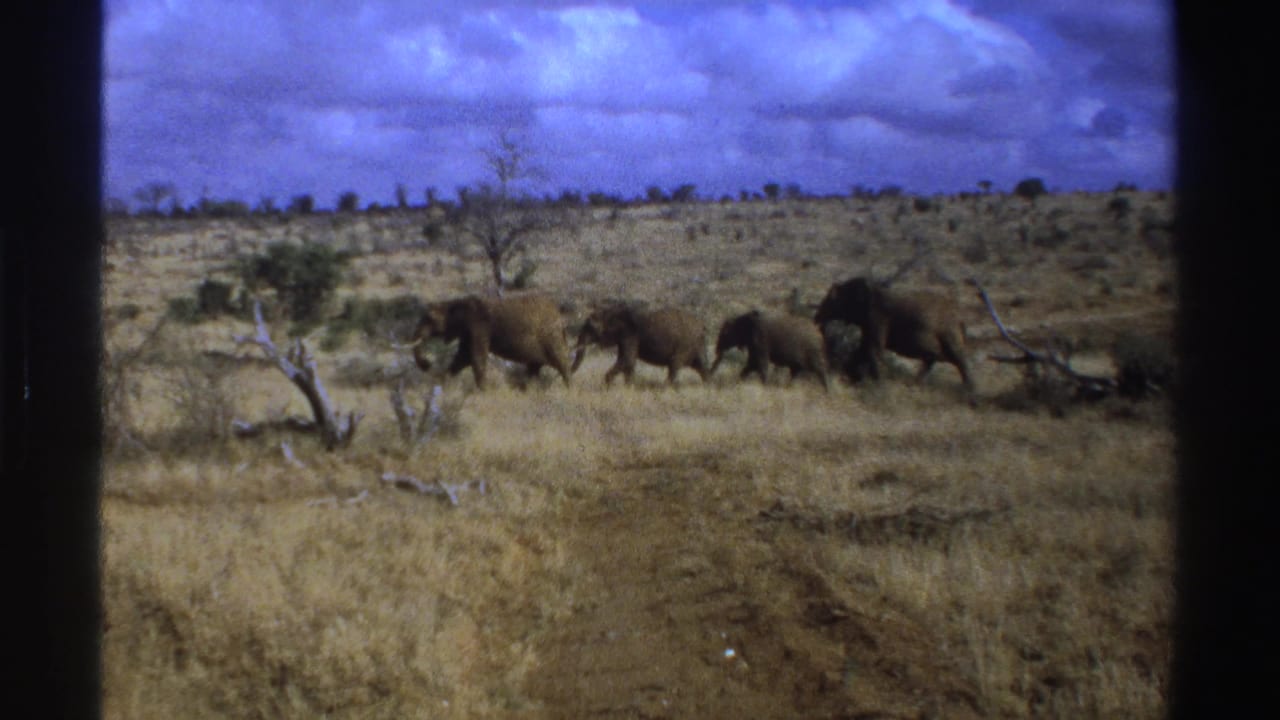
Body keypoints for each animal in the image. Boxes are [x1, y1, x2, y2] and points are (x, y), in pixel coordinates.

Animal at [412, 292, 573, 389]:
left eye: (430, 319)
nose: (427, 363)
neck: (454, 303)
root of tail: (559, 314)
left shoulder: (479, 328)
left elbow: (476, 358)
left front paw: (483, 392)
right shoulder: (468, 333)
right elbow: (461, 359)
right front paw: (442, 383)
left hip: (551, 337)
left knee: (561, 363)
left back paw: (568, 390)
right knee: (534, 368)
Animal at [570, 304, 710, 386]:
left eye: (591, 327)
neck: (611, 311)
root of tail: (702, 325)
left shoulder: (630, 335)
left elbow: (627, 360)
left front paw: (608, 384)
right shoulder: (624, 338)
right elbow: (628, 362)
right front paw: (628, 386)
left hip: (685, 345)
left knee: (675, 365)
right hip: (695, 346)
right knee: (701, 367)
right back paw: (708, 385)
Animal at [814, 277, 973, 391]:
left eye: (833, 299)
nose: (816, 319)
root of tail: (960, 319)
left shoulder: (878, 319)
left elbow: (873, 351)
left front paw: (878, 386)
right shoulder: (869, 326)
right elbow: (862, 351)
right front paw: (852, 378)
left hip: (949, 336)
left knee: (960, 362)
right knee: (931, 360)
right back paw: (914, 385)